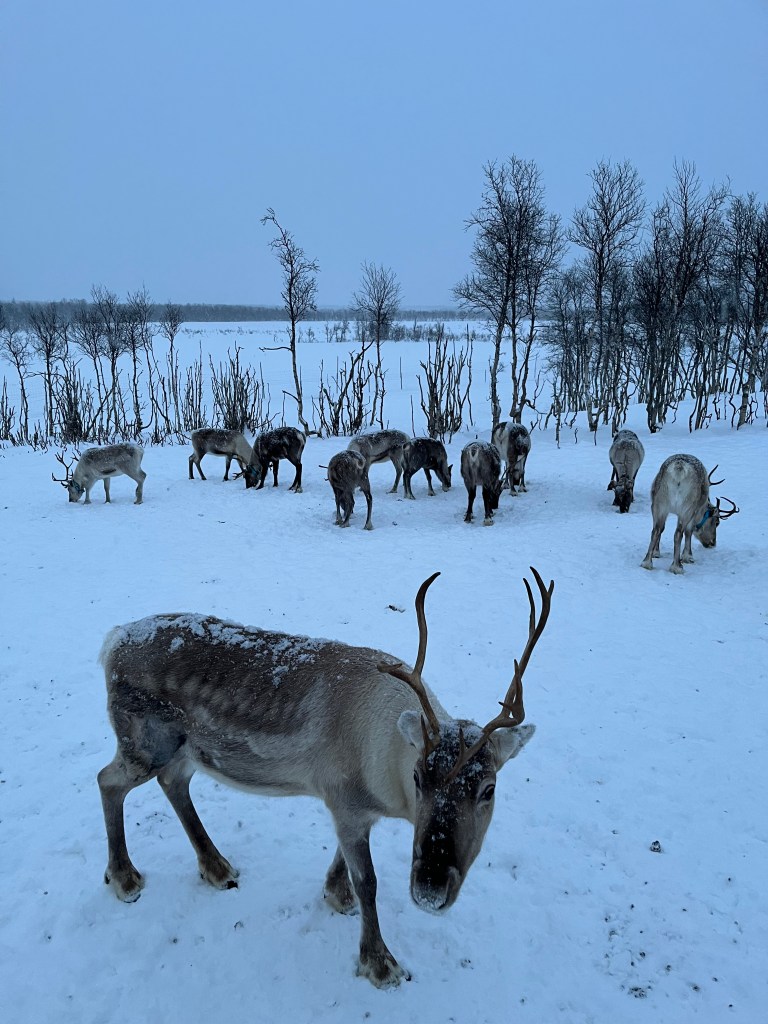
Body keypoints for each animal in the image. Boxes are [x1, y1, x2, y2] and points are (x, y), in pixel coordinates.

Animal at [97, 568, 553, 988]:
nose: (430, 888)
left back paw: (216, 866)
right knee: (108, 779)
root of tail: (112, 641)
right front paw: (379, 963)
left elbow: (345, 865)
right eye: (419, 777)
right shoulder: (345, 801)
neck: (387, 784)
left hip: (183, 747)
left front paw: (337, 894)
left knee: (172, 782)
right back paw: (125, 877)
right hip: (145, 743)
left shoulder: (354, 808)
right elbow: (368, 881)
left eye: (489, 789)